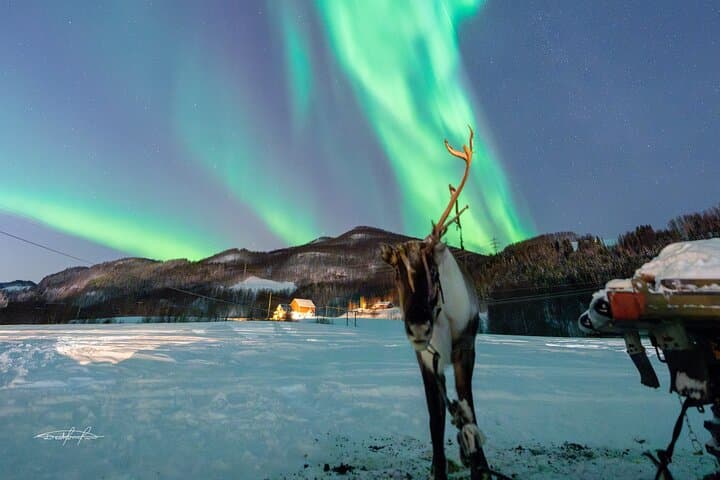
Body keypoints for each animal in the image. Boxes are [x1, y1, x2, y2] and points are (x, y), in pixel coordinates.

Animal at [381, 127, 495, 480]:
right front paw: (438, 468)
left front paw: (480, 467)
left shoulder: (465, 349)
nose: (418, 327)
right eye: (396, 274)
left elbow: (470, 409)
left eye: (433, 271)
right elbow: (435, 419)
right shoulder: (426, 359)